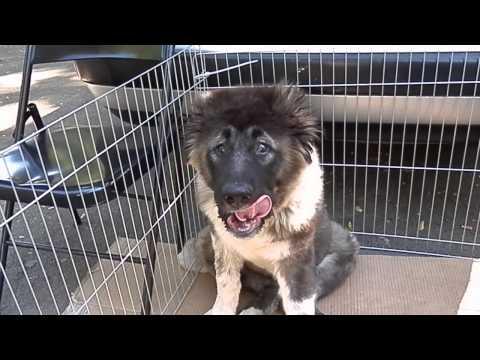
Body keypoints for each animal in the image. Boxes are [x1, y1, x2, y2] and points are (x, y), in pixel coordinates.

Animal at [181, 84, 360, 316]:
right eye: (220, 148)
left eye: (262, 147)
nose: (236, 196)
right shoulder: (222, 244)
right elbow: (227, 284)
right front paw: (220, 310)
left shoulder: (297, 260)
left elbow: (298, 303)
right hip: (205, 243)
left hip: (344, 248)